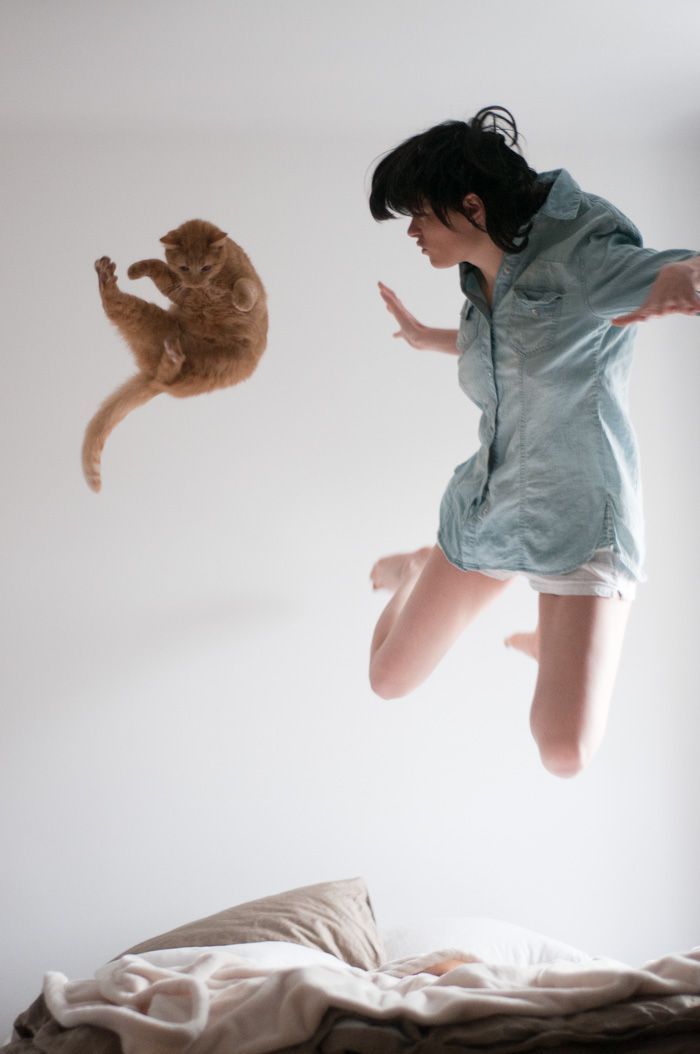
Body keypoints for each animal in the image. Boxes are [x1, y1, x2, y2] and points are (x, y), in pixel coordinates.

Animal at [82, 217, 267, 493]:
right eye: (184, 267)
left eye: (206, 267)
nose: (196, 283)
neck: (206, 288)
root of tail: (150, 377)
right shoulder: (177, 289)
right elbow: (159, 267)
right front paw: (136, 269)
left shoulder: (248, 279)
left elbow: (244, 285)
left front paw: (240, 301)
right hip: (148, 319)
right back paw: (106, 275)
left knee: (166, 374)